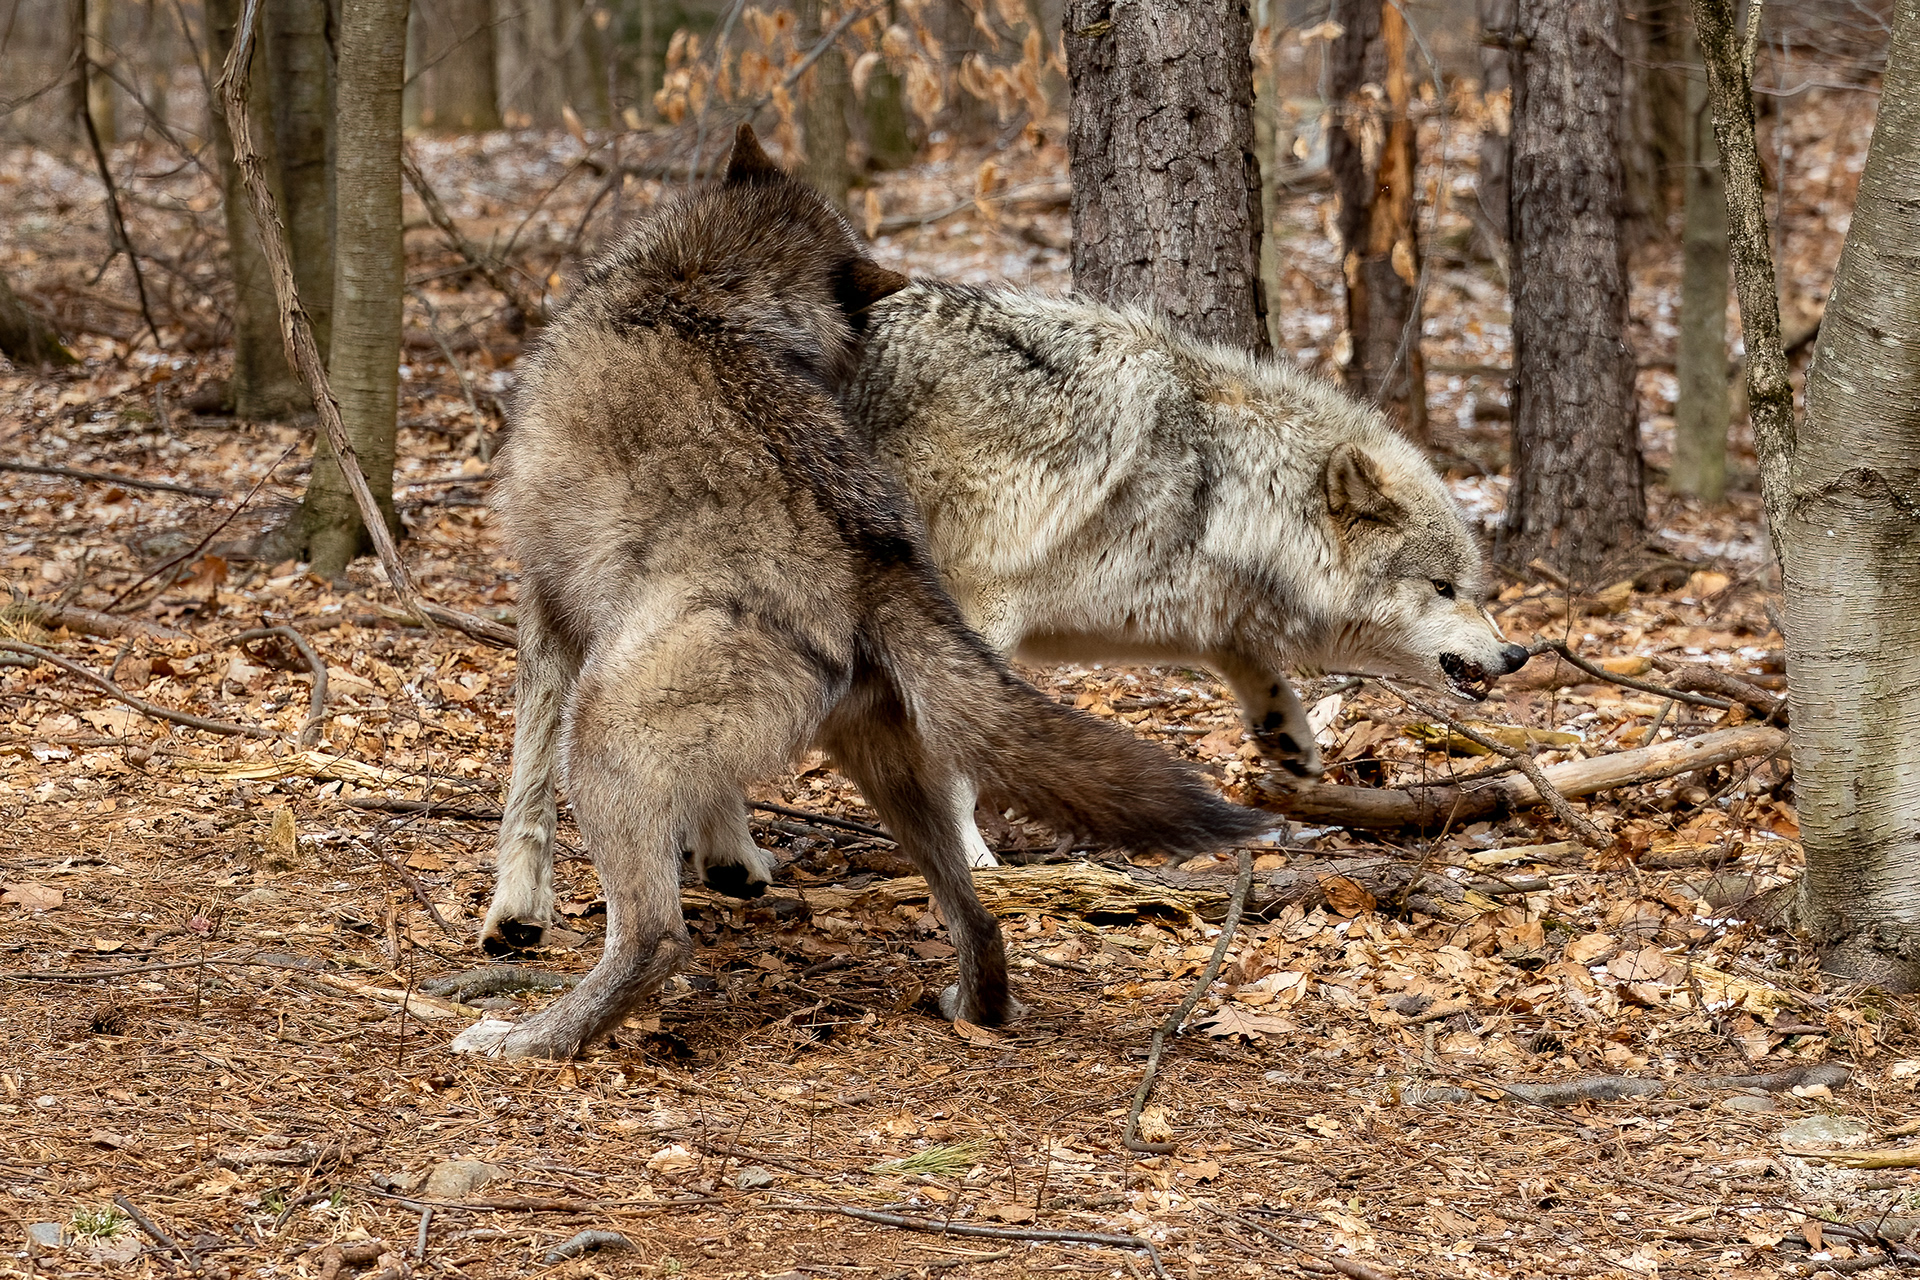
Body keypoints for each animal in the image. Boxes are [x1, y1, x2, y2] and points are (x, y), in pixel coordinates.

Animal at [459, 127, 1272, 1060]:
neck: (701, 288)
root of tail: (874, 559)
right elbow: (715, 796)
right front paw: (732, 860)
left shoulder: (547, 604)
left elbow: (525, 780)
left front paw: (517, 914)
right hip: (894, 774)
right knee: (982, 920)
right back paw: (972, 1008)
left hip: (607, 736)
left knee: (658, 939)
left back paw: (529, 1040)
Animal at [846, 282, 1529, 867]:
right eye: (1442, 588)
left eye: (1469, 589)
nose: (1516, 653)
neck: (1227, 485)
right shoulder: (987, 613)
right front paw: (973, 859)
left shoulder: (1151, 604)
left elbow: (1246, 657)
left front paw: (1289, 735)